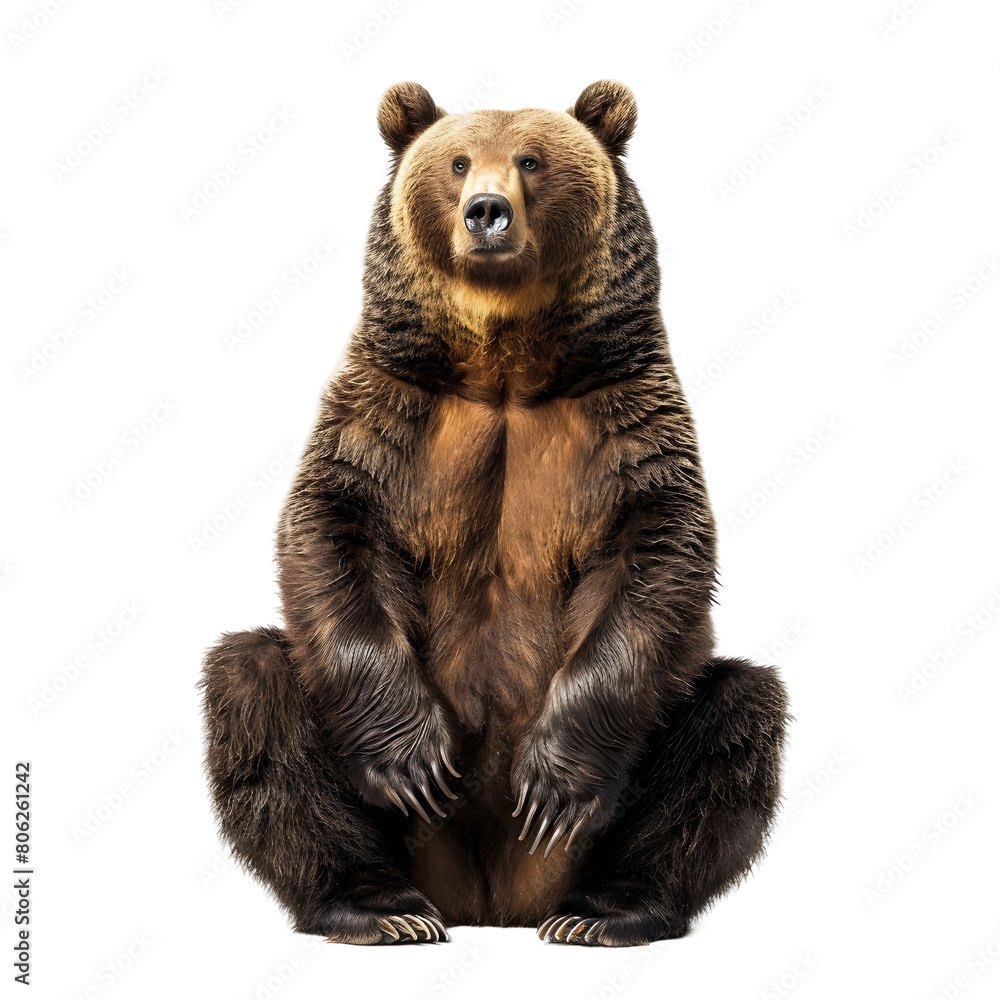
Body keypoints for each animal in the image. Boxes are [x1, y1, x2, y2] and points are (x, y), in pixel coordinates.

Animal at [200, 80, 789, 947]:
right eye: (455, 161)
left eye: (532, 160)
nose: (487, 210)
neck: (504, 362)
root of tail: (492, 902)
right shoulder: (392, 406)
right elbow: (331, 525)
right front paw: (415, 760)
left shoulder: (621, 415)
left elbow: (658, 552)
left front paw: (552, 782)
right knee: (253, 688)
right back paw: (379, 908)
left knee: (734, 721)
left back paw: (605, 911)